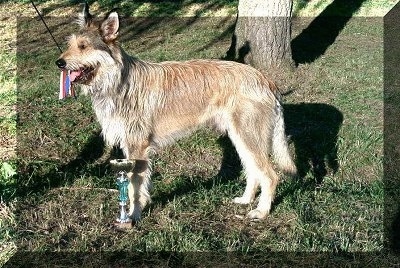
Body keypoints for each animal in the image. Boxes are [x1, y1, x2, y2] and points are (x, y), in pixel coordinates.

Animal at [54, 4, 296, 221]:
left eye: (84, 46)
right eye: (71, 44)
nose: (59, 62)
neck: (118, 81)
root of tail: (265, 80)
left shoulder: (137, 147)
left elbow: (133, 188)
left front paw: (132, 215)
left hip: (249, 138)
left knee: (270, 176)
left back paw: (261, 212)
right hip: (241, 139)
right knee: (253, 172)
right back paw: (246, 200)